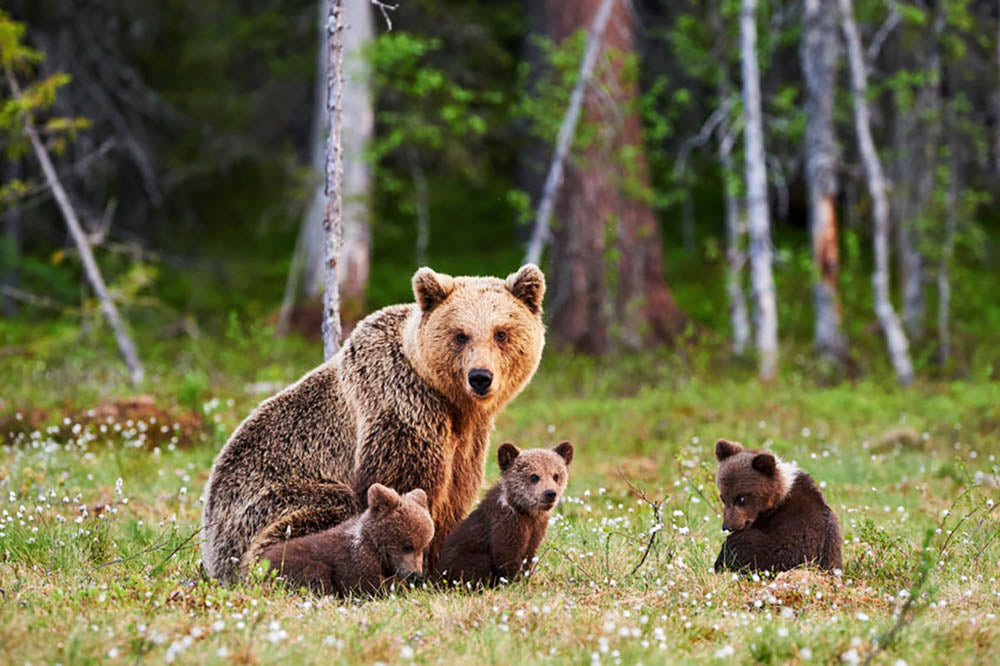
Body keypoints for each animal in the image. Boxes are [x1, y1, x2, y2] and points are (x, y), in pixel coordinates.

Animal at [201, 264, 546, 582]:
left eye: (501, 333)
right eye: (460, 334)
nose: (480, 377)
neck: (450, 402)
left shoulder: (467, 440)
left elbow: (454, 495)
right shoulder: (401, 406)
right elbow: (403, 485)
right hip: (267, 502)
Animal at [436, 441, 572, 587]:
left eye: (556, 475)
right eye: (534, 476)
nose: (550, 493)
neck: (525, 511)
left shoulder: (536, 529)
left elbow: (529, 556)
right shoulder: (506, 525)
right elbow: (506, 557)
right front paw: (514, 582)